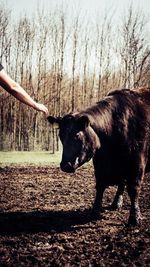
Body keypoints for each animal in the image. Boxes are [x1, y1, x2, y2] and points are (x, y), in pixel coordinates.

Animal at [47, 88, 150, 226]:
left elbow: (134, 189)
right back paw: (116, 203)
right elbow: (100, 186)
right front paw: (94, 211)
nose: (65, 165)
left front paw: (135, 217)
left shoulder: (137, 164)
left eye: (77, 135)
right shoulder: (100, 163)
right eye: (60, 136)